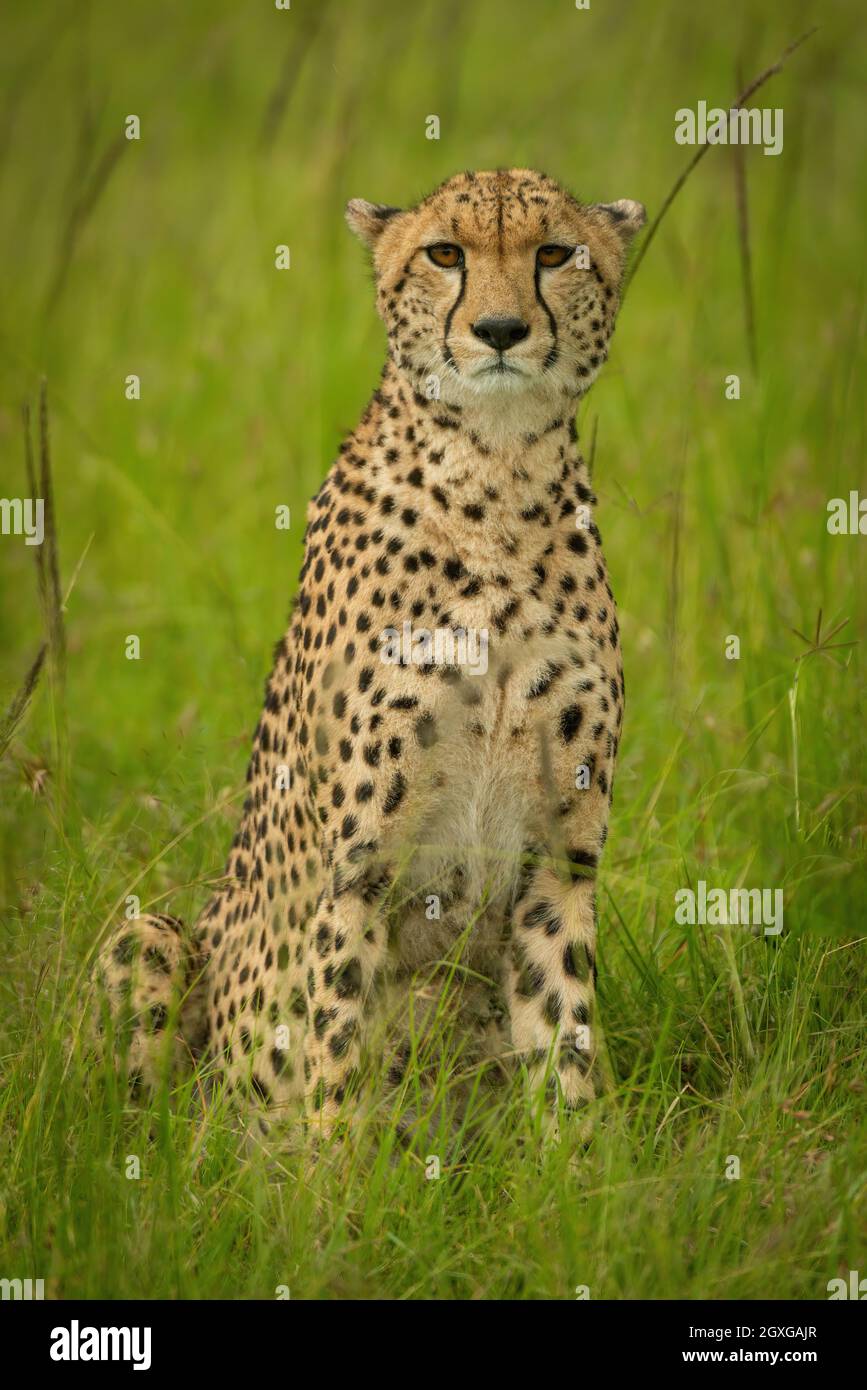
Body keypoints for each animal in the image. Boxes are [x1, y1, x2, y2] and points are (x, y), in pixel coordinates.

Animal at [94, 168, 647, 1134]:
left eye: (554, 253)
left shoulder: (561, 857)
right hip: (149, 940)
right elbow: (335, 1033)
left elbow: (562, 1024)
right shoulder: (360, 865)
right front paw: (332, 1165)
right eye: (444, 253)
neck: (497, 473)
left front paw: (579, 1155)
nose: (498, 330)